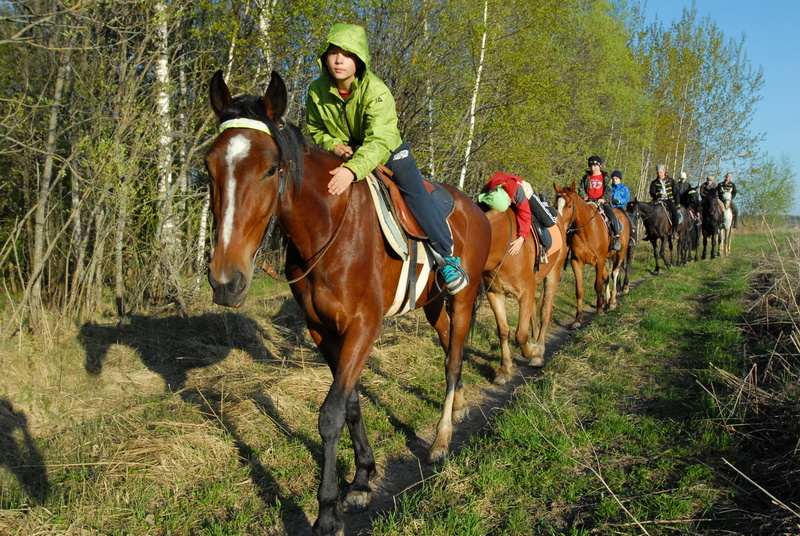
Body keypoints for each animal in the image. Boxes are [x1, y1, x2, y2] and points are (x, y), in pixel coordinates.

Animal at [205, 72, 494, 536]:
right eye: (208, 166)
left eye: (270, 168)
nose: (225, 281)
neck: (328, 228)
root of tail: (476, 208)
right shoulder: (322, 329)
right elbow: (352, 405)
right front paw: (360, 479)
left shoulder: (363, 326)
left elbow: (331, 414)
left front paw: (327, 511)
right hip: (434, 305)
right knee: (453, 347)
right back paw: (461, 407)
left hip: (462, 299)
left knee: (451, 363)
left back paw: (441, 440)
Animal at [552, 182, 628, 328]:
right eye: (555, 205)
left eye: (569, 206)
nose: (559, 227)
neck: (585, 231)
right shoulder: (576, 261)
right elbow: (579, 290)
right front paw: (577, 319)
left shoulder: (599, 261)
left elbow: (597, 285)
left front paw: (599, 311)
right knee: (606, 277)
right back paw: (607, 300)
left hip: (620, 254)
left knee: (614, 273)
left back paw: (612, 301)